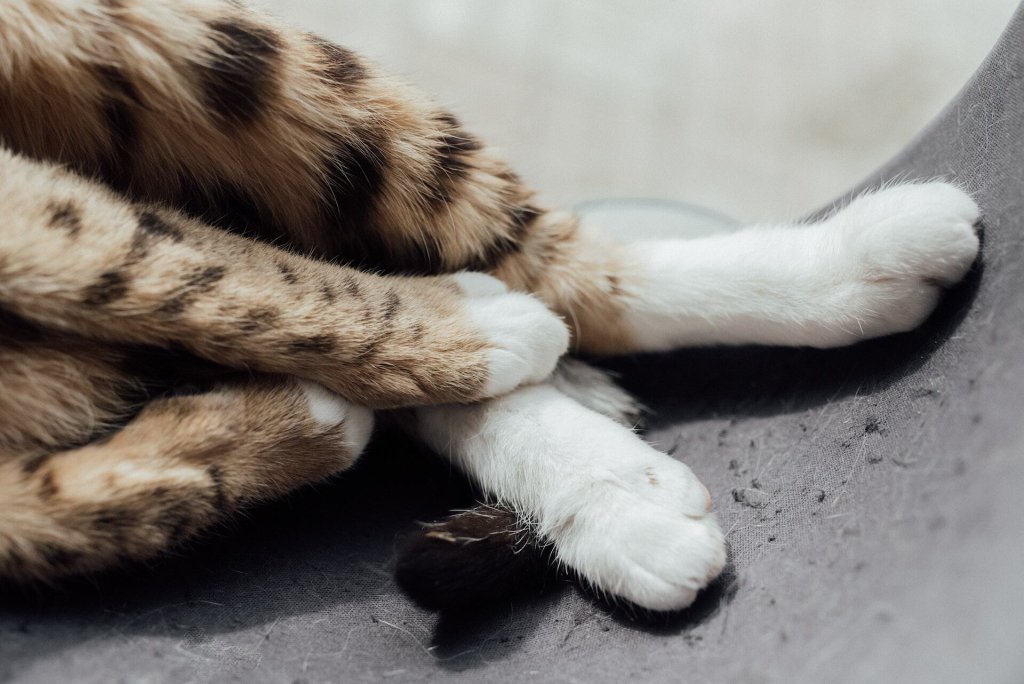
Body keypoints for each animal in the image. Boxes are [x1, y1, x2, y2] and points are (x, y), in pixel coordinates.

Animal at [0, 0, 978, 610]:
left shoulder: (45, 211)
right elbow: (46, 518)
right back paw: (610, 494)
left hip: (209, 51)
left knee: (558, 269)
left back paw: (857, 261)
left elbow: (190, 269)